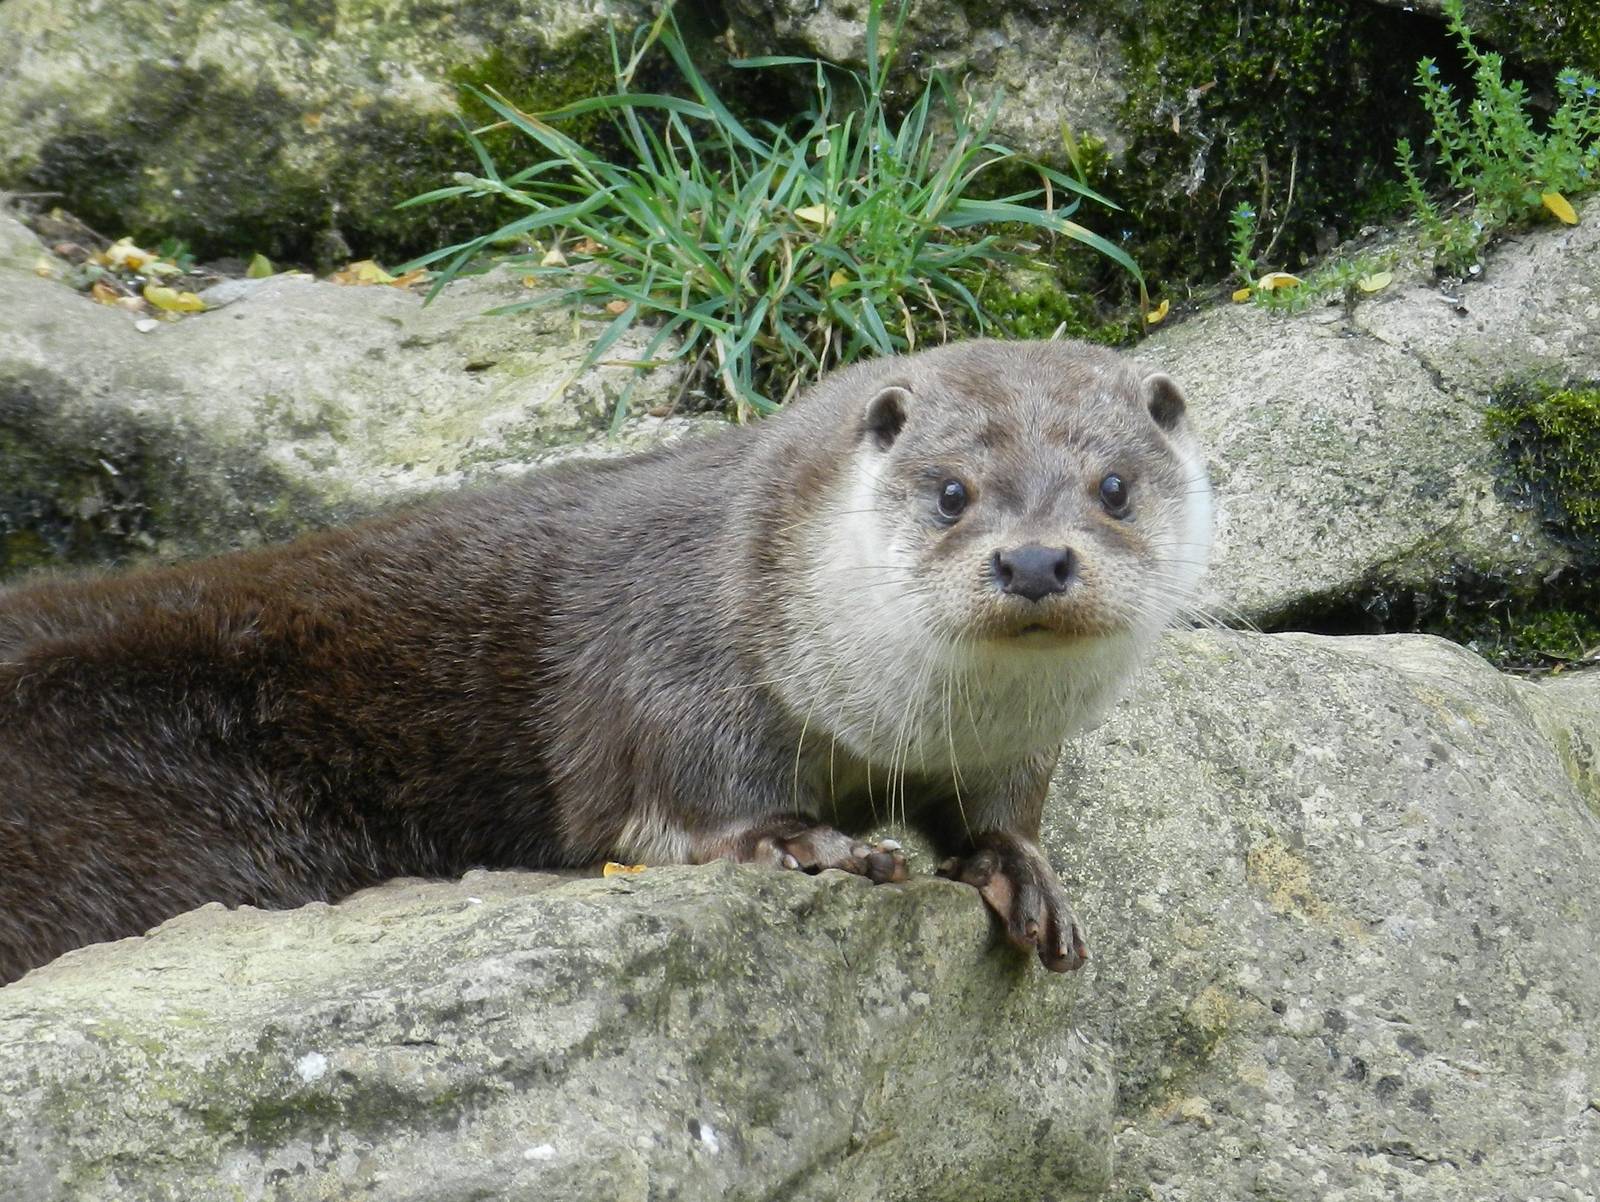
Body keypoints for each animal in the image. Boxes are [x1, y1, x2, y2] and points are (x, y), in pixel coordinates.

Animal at [0, 339, 1211, 985]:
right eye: (953, 491)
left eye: (1113, 487)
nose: (1036, 557)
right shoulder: (667, 661)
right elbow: (669, 802)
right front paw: (804, 842)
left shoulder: (999, 747)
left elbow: (998, 812)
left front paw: (1019, 868)